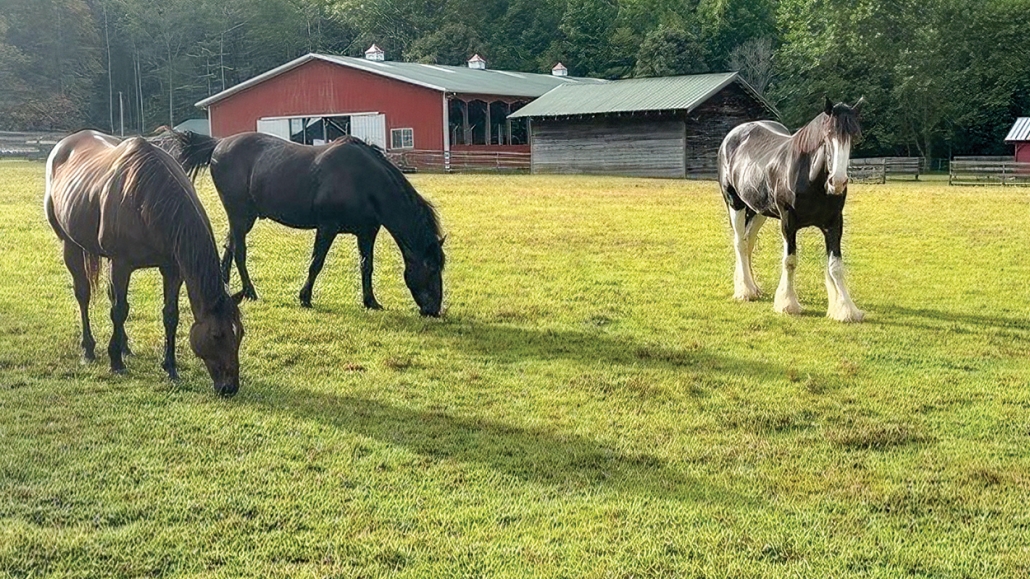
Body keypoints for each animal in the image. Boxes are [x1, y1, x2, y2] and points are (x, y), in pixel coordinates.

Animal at [45, 128, 245, 393]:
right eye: (216, 335)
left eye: (240, 334)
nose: (229, 387)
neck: (146, 199)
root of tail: (62, 146)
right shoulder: (121, 264)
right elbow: (119, 310)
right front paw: (115, 362)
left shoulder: (172, 269)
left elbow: (170, 315)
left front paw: (170, 367)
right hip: (70, 245)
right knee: (83, 295)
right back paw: (89, 349)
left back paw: (125, 347)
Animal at [162, 129, 444, 315]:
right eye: (431, 269)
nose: (434, 309)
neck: (363, 180)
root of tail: (219, 144)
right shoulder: (327, 227)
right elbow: (316, 263)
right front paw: (305, 297)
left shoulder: (367, 232)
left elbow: (367, 266)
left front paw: (371, 301)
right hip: (239, 215)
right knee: (239, 251)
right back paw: (251, 292)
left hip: (245, 218)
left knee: (229, 247)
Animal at [721, 94, 865, 319]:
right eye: (828, 134)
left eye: (855, 137)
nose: (838, 182)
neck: (810, 178)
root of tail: (732, 135)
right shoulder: (788, 222)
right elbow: (790, 261)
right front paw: (788, 304)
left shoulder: (834, 224)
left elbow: (836, 266)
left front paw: (846, 309)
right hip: (735, 203)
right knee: (740, 243)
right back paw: (746, 291)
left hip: (758, 210)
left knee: (748, 241)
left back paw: (753, 287)